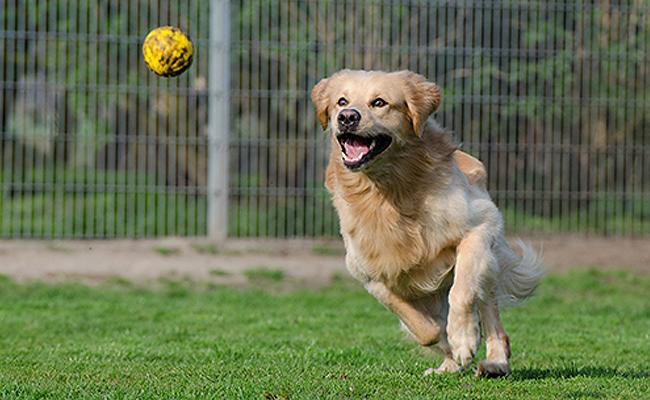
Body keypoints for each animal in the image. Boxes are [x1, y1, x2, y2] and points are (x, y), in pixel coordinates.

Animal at [308, 70, 540, 376]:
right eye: (341, 101)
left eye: (379, 102)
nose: (347, 117)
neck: (388, 191)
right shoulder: (370, 273)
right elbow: (424, 328)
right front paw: (449, 345)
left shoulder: (479, 227)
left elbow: (462, 292)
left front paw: (464, 339)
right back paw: (448, 366)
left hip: (488, 262)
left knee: (490, 312)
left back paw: (495, 362)